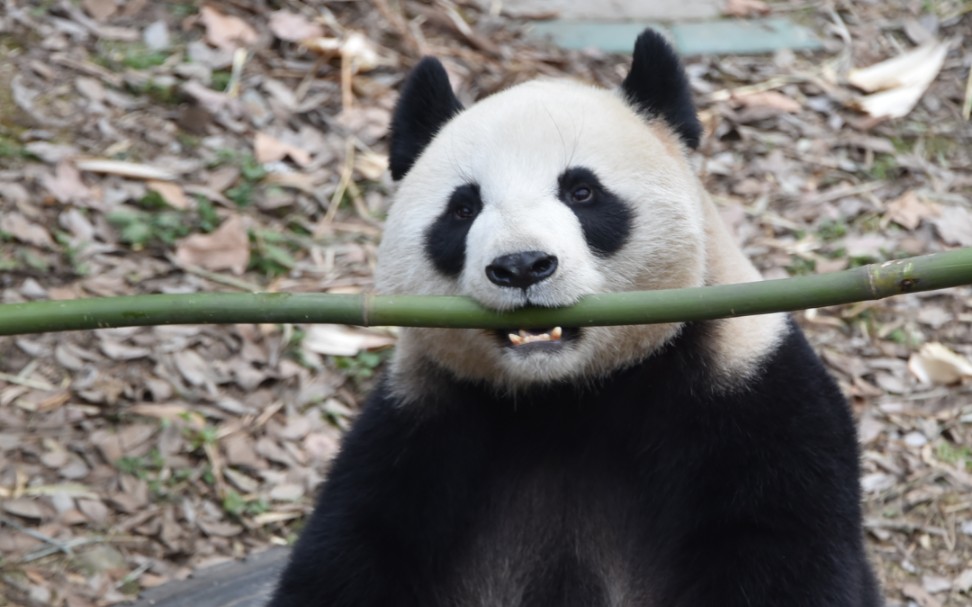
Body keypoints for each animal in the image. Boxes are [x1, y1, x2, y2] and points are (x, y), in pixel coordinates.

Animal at [270, 29, 884, 607]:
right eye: (462, 209)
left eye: (582, 192)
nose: (521, 266)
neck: (566, 396)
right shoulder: (417, 425)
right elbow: (350, 555)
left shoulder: (757, 399)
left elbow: (781, 547)